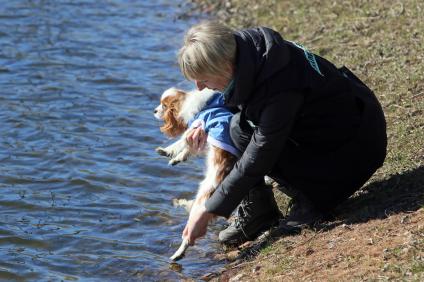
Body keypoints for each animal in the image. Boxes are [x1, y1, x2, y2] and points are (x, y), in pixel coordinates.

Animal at [153, 87, 240, 262]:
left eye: (163, 106)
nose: (154, 110)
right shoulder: (200, 134)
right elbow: (187, 149)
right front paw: (177, 159)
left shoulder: (195, 128)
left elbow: (180, 142)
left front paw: (166, 151)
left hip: (200, 205)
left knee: (188, 237)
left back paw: (177, 254)